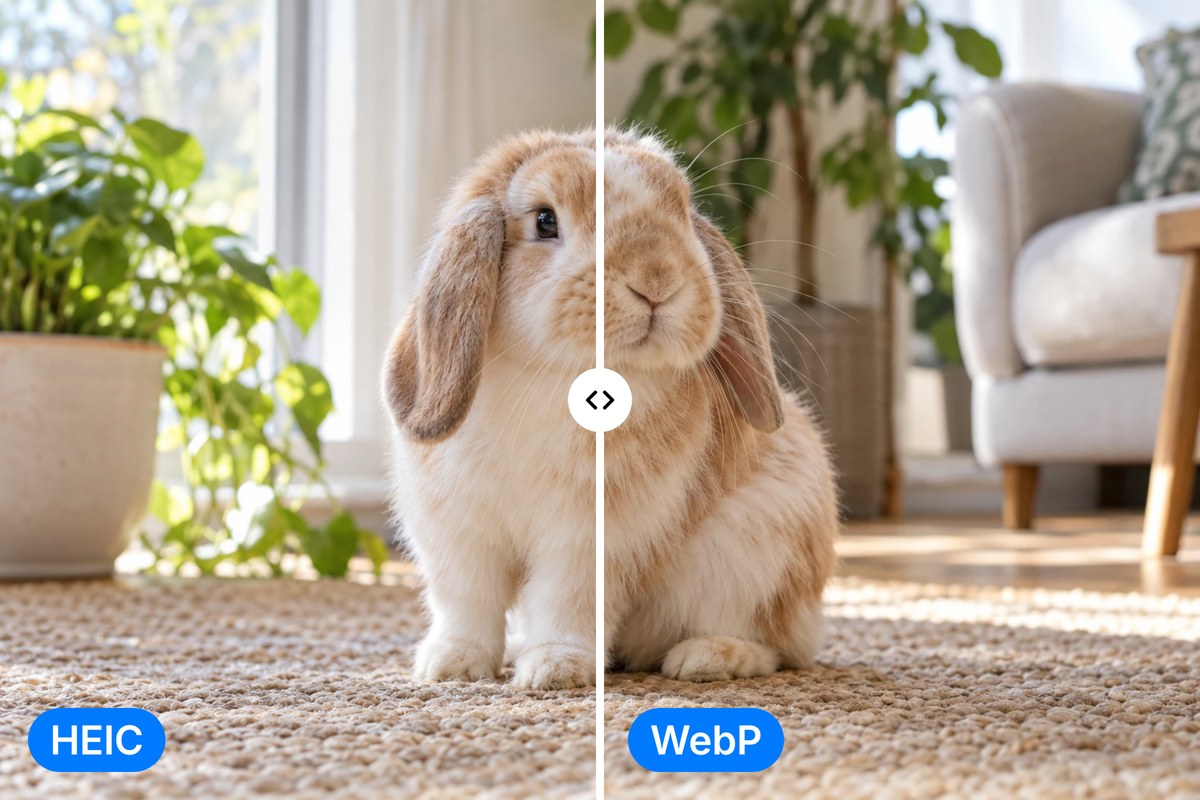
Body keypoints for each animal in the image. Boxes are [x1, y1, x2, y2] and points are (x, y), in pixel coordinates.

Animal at [382, 130, 598, 691]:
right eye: (544, 221)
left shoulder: (581, 532)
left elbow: (565, 595)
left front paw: (555, 670)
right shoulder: (451, 532)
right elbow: (466, 600)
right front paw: (451, 667)